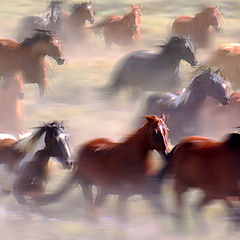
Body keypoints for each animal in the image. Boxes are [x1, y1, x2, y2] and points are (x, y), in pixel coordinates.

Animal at [33, 115, 170, 220]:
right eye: (155, 132)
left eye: (167, 131)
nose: (167, 152)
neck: (134, 159)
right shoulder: (124, 194)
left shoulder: (148, 193)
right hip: (87, 186)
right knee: (92, 208)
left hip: (102, 189)